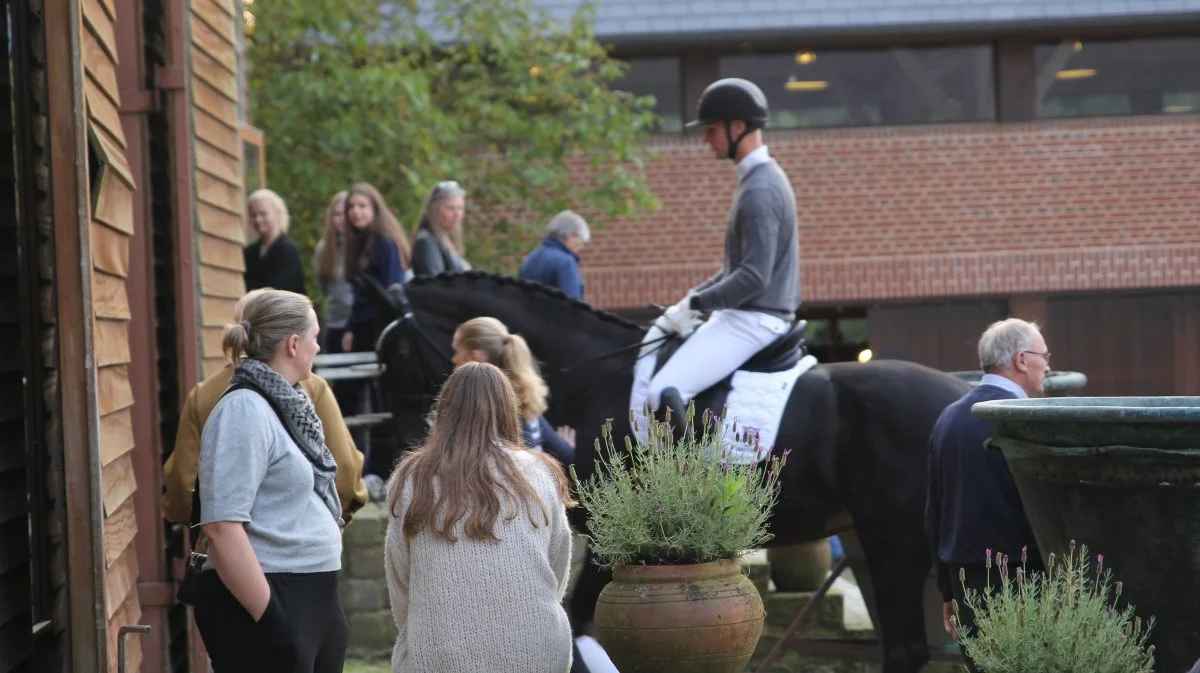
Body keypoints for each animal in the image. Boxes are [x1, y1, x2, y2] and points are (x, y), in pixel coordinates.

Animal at [369, 268, 969, 671]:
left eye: (393, 354)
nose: (394, 453)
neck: (592, 380)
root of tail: (957, 395)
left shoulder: (612, 541)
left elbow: (583, 624)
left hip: (892, 544)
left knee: (908, 649)